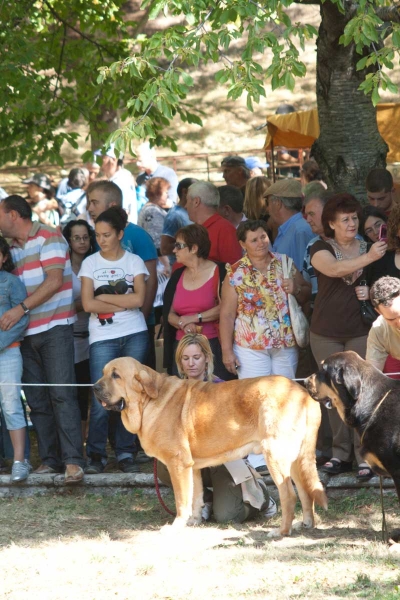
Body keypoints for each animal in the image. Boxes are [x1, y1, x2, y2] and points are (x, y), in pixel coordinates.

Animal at [94, 356, 328, 536]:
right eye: (103, 372)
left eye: (115, 375)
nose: (94, 387)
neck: (147, 401)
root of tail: (302, 392)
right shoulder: (191, 467)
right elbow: (195, 496)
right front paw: (194, 521)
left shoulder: (177, 464)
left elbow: (181, 500)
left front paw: (177, 525)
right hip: (297, 460)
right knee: (306, 491)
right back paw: (305, 524)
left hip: (275, 456)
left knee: (289, 495)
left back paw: (281, 531)